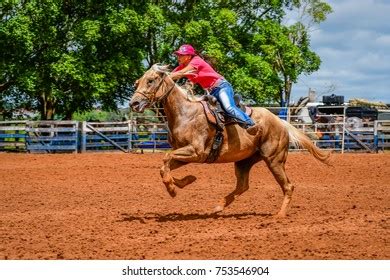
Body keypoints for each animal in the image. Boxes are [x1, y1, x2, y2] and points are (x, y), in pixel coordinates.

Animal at [130, 64, 330, 218]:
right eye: (137, 82)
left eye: (151, 80)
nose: (134, 103)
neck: (185, 113)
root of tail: (280, 122)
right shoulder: (186, 154)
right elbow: (165, 165)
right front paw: (185, 181)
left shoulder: (196, 151)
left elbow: (165, 159)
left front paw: (173, 189)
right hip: (244, 161)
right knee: (242, 186)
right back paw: (218, 206)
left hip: (274, 160)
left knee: (288, 186)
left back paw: (279, 215)